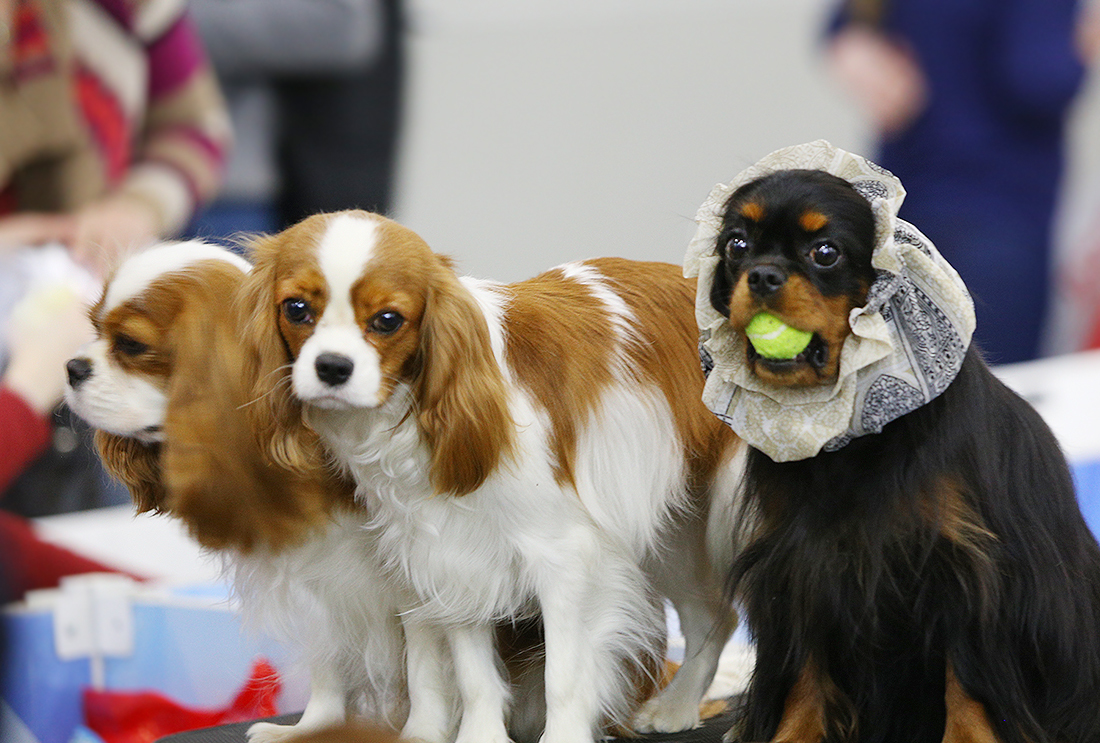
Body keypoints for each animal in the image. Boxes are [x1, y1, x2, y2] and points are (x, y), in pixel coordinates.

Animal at [61, 244, 404, 743]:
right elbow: (330, 667)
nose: (72, 367)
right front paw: (311, 729)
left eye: (130, 345)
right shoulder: (324, 585)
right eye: (94, 329)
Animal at [240, 209, 748, 743]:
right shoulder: (454, 556)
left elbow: (563, 675)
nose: (332, 367)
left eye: (388, 320)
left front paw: (562, 737)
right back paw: (677, 705)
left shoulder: (565, 558)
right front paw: (480, 735)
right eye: (296, 309)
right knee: (713, 615)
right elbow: (474, 675)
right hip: (678, 533)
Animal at [704, 169, 1100, 743]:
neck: (858, 436)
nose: (761, 276)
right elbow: (805, 669)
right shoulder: (799, 565)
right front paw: (794, 734)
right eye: (737, 245)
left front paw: (968, 739)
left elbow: (965, 677)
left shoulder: (964, 567)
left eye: (825, 252)